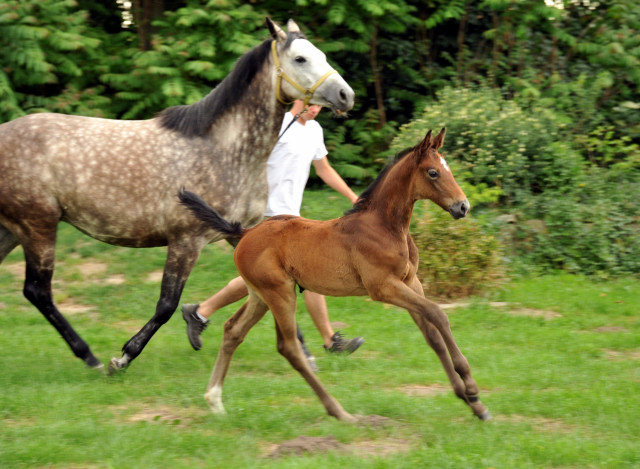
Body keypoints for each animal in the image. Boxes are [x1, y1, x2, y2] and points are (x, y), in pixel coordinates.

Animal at [0, 18, 356, 372]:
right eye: (300, 59)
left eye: (321, 54)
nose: (346, 95)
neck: (224, 151)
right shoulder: (186, 240)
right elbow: (167, 304)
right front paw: (124, 357)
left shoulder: (238, 233)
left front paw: (305, 354)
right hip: (39, 226)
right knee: (38, 291)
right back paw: (91, 358)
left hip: (14, 229)